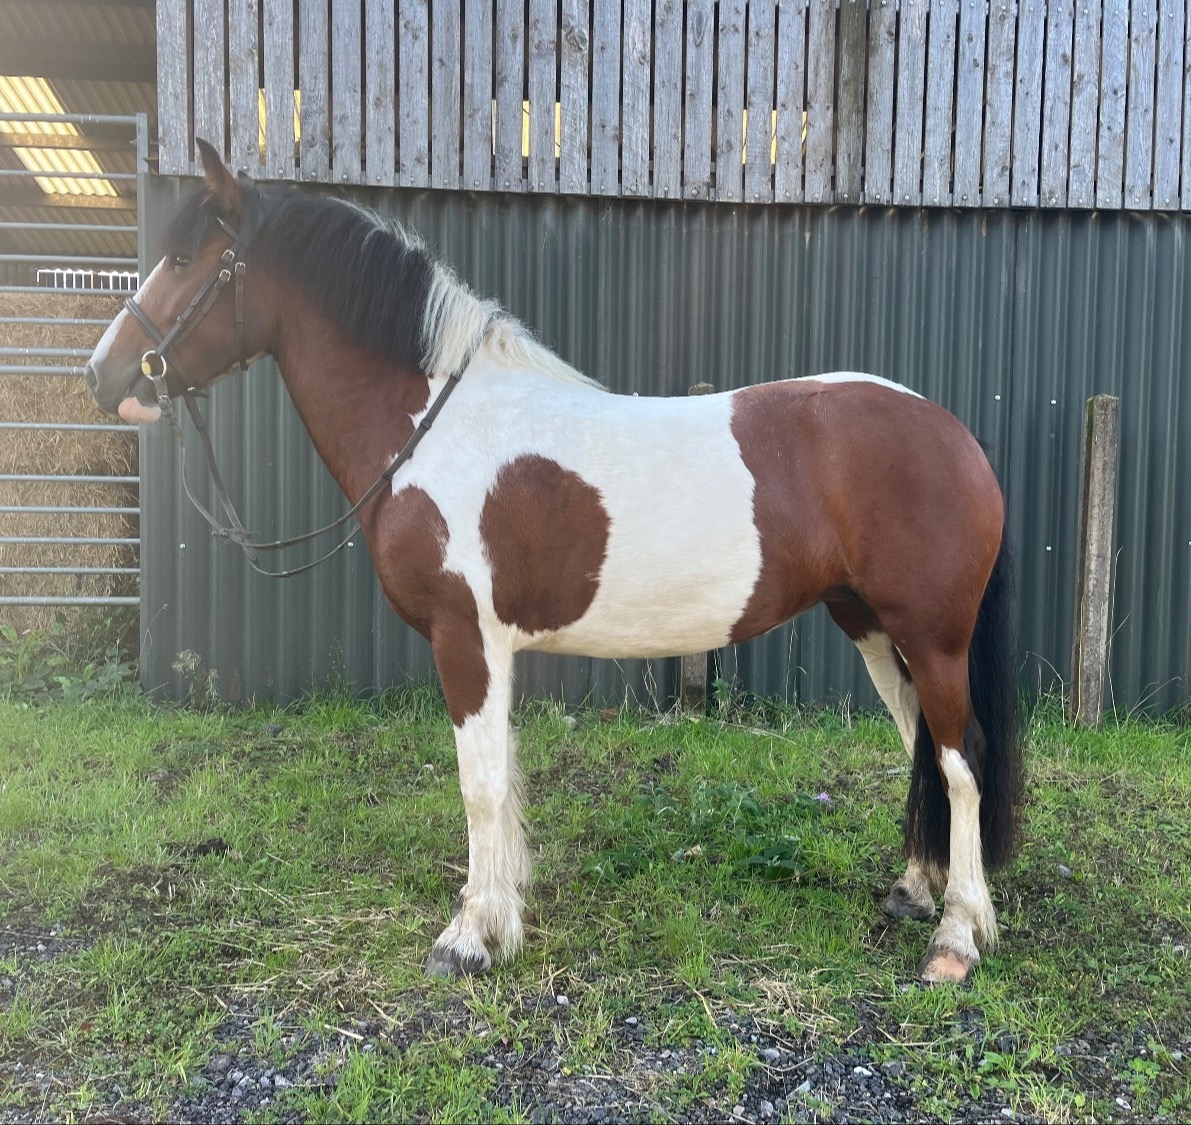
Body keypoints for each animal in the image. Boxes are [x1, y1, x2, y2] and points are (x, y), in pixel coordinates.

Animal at [85, 139, 1022, 985]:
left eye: (182, 257)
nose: (103, 374)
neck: (431, 424)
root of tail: (952, 432)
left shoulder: (463, 639)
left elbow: (478, 786)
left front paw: (467, 938)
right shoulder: (489, 649)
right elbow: (500, 781)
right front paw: (498, 916)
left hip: (930, 635)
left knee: (960, 761)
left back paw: (957, 936)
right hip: (869, 624)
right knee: (920, 745)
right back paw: (914, 890)